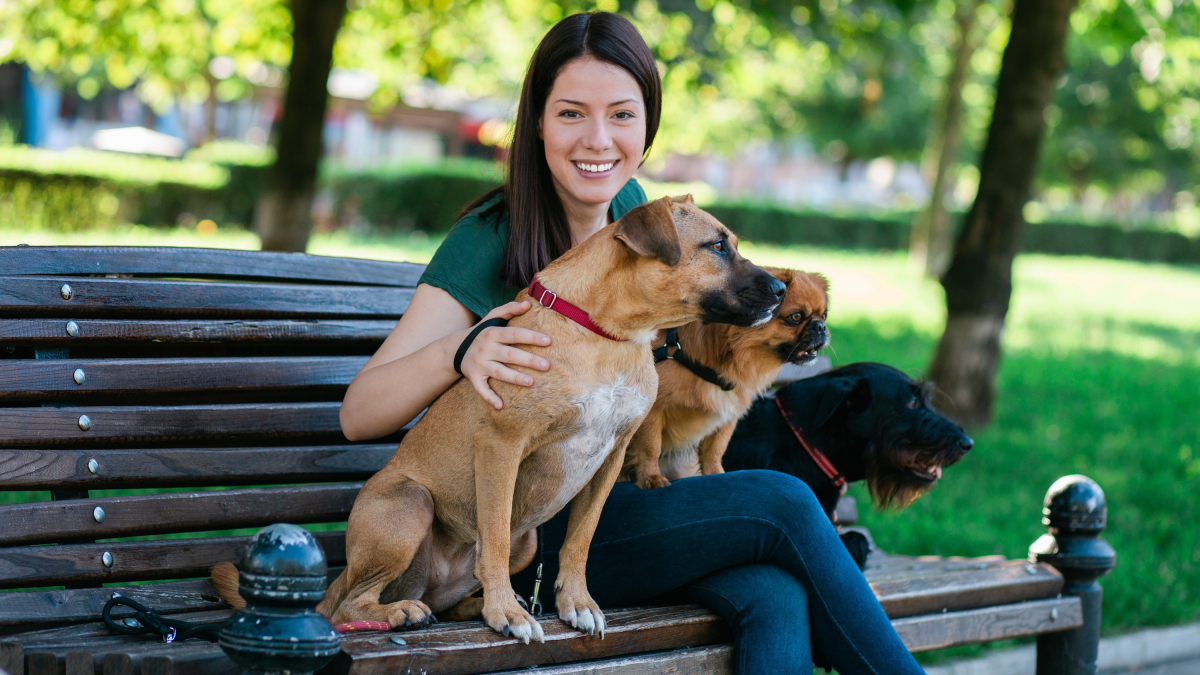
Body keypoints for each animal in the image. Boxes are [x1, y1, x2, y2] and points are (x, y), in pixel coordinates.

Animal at [213, 194, 787, 638]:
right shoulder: (502, 446)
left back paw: (466, 605)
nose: (782, 290)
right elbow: (491, 534)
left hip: (526, 543)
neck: (609, 334)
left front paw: (576, 603)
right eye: (717, 246)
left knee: (445, 598)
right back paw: (402, 612)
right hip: (408, 506)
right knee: (352, 604)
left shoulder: (610, 457)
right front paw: (506, 613)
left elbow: (579, 541)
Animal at [624, 267, 830, 487]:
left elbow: (715, 451)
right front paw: (651, 477)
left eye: (824, 315)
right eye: (796, 317)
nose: (820, 327)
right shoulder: (652, 411)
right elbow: (650, 446)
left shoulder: (727, 417)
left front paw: (716, 474)